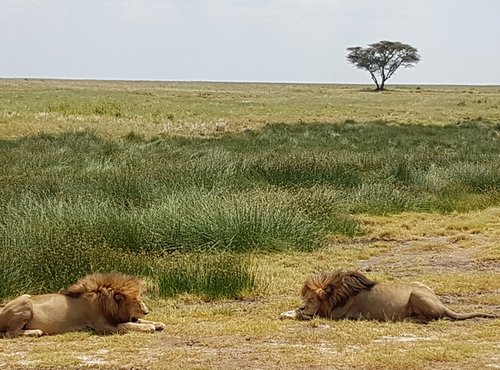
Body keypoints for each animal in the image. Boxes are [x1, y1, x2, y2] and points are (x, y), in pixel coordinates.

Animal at [0, 270, 166, 336]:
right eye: (136, 301)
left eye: (140, 299)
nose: (146, 311)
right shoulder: (103, 326)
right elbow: (128, 325)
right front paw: (148, 327)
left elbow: (137, 320)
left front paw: (158, 323)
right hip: (25, 304)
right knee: (10, 333)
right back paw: (35, 332)